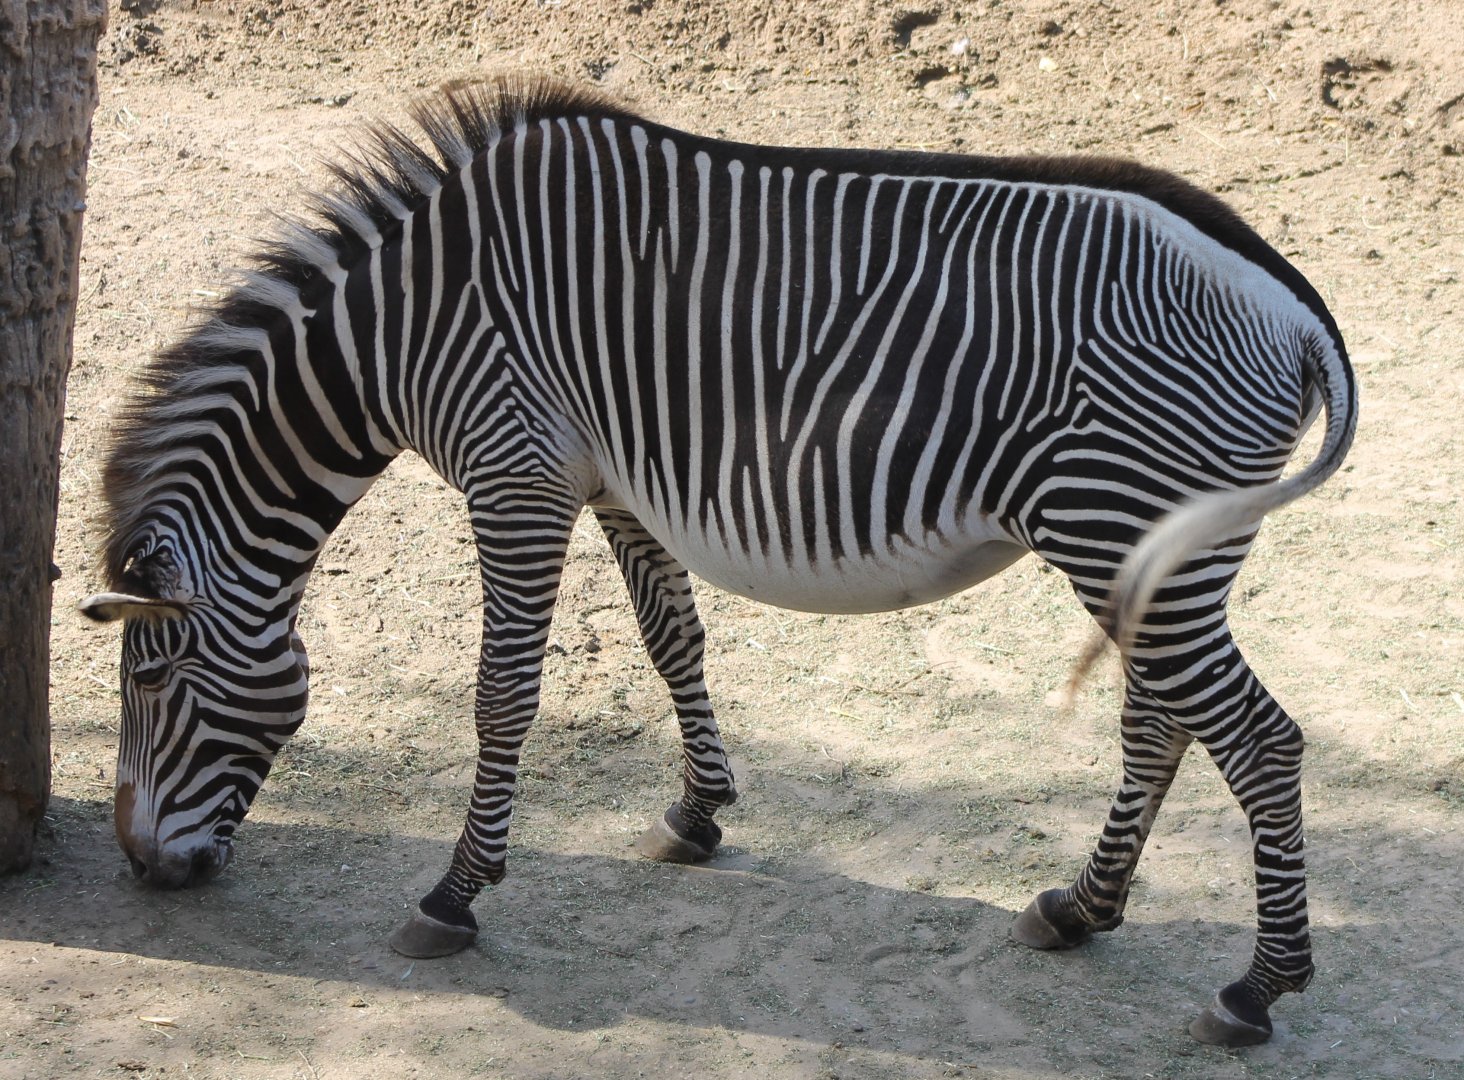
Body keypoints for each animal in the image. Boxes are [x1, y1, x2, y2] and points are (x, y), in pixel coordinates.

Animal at [80, 77, 1356, 1047]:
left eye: (151, 680)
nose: (139, 867)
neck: (402, 321)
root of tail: (1298, 308)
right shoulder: (612, 479)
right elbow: (670, 635)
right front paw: (697, 815)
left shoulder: (515, 473)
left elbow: (503, 694)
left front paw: (455, 894)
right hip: (1149, 546)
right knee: (1165, 723)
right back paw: (1082, 909)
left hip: (1118, 524)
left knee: (1259, 738)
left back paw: (1258, 987)